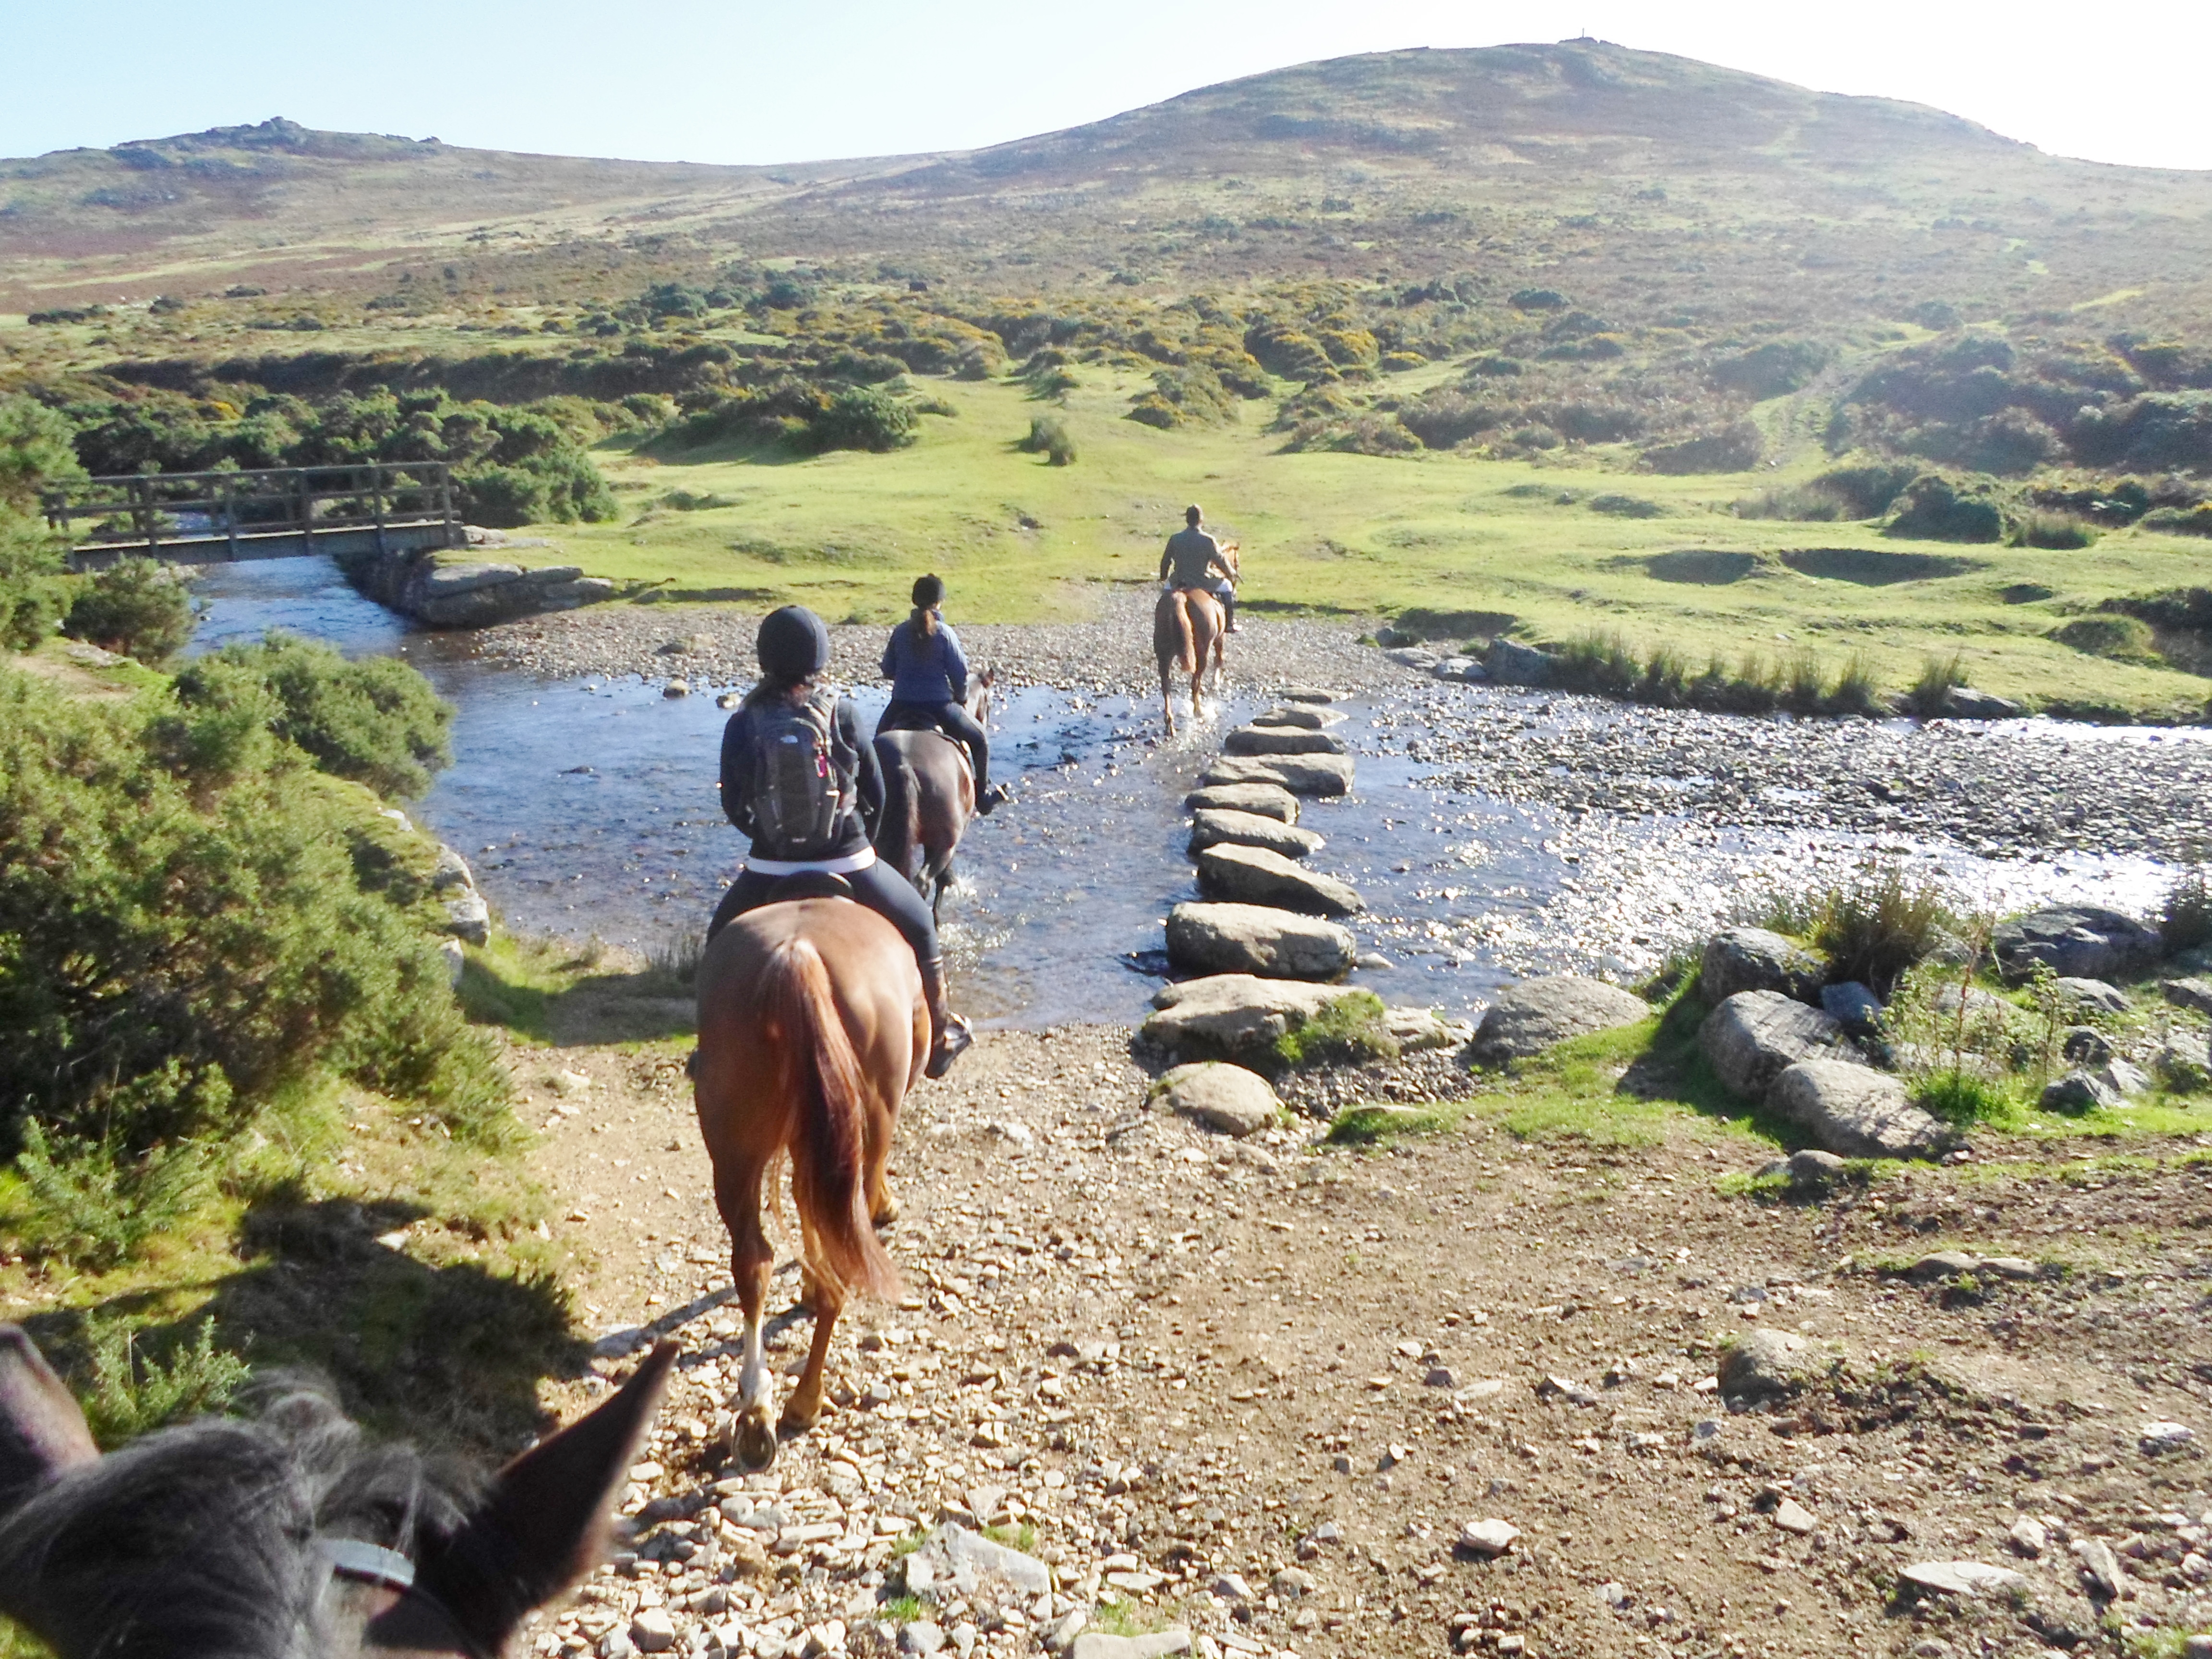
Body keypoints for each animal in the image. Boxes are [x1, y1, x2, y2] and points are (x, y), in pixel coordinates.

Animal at [692, 882, 926, 1470]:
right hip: (861, 1131)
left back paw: (756, 1412)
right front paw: (886, 1206)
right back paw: (804, 1402)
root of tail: (799, 957)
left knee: (753, 1261)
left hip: (733, 1146)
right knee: (837, 1279)